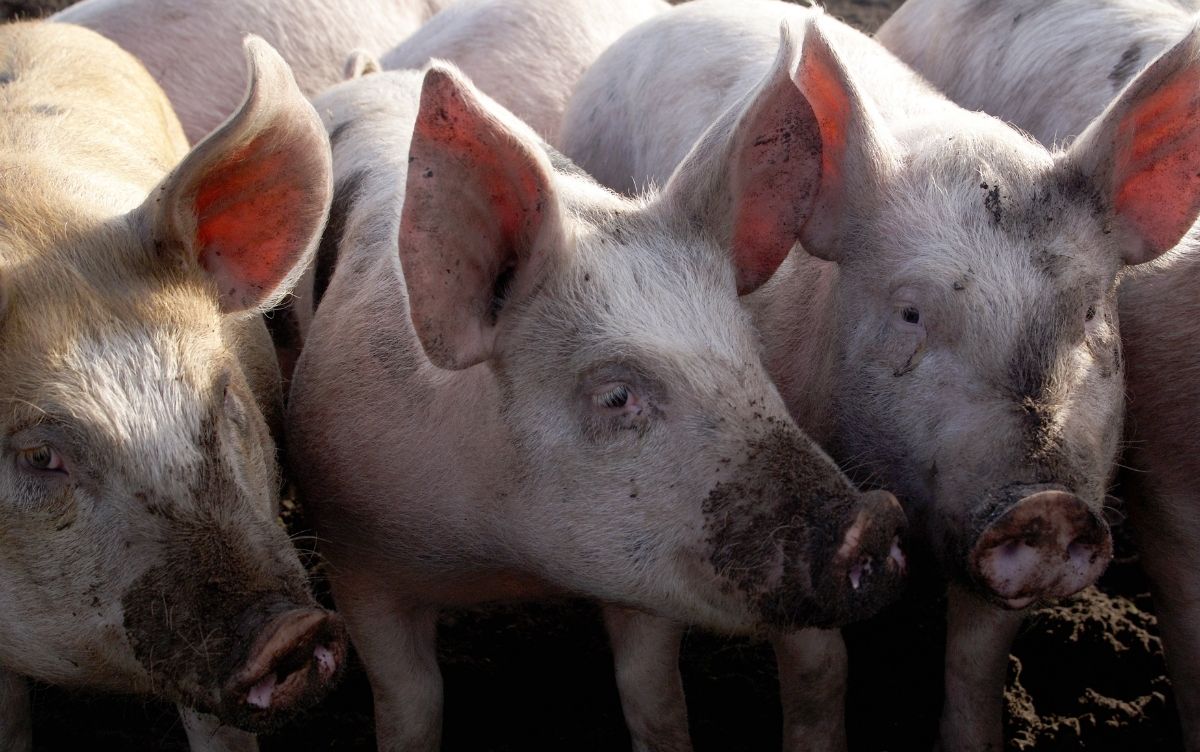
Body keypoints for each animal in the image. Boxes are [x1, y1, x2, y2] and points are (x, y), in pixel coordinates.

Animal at [285, 36, 908, 750]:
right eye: (615, 397)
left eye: (751, 353)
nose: (874, 519)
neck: (504, 561)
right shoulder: (352, 553)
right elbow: (411, 706)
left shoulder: (643, 573)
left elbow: (653, 694)